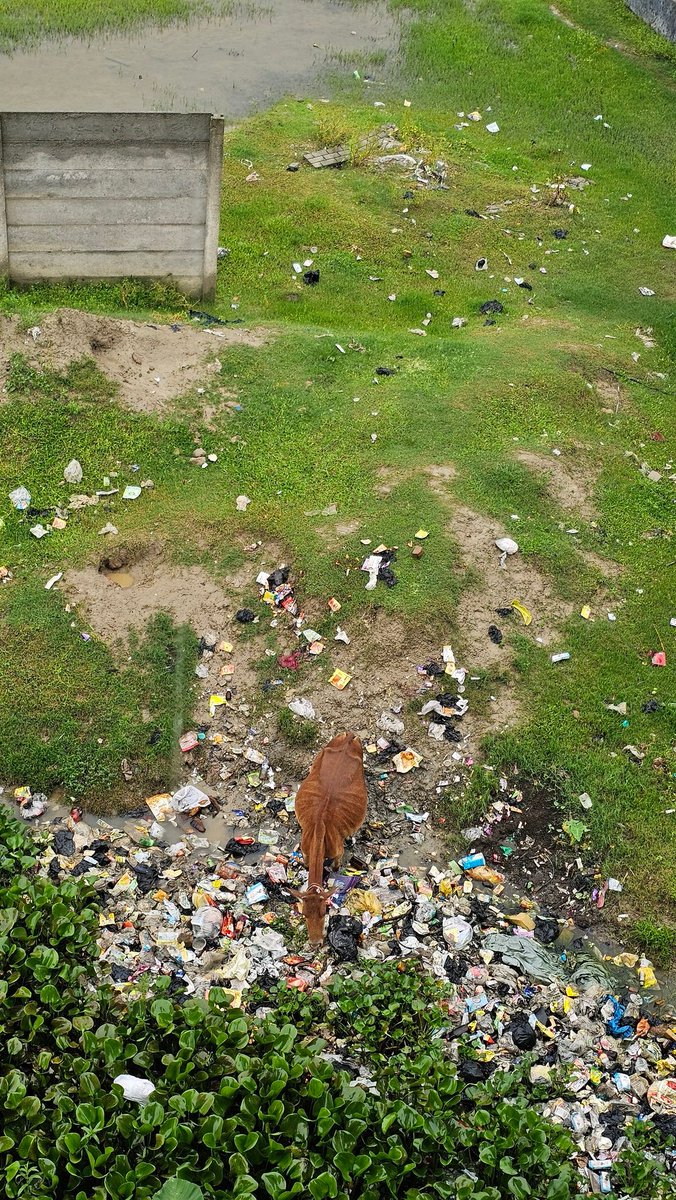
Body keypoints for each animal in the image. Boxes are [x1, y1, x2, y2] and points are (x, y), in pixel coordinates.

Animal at [290, 732, 367, 944]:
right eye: (304, 914)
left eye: (324, 911)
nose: (315, 943)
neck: (319, 830)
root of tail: (349, 737)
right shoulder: (305, 849)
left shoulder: (337, 852)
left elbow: (335, 867)